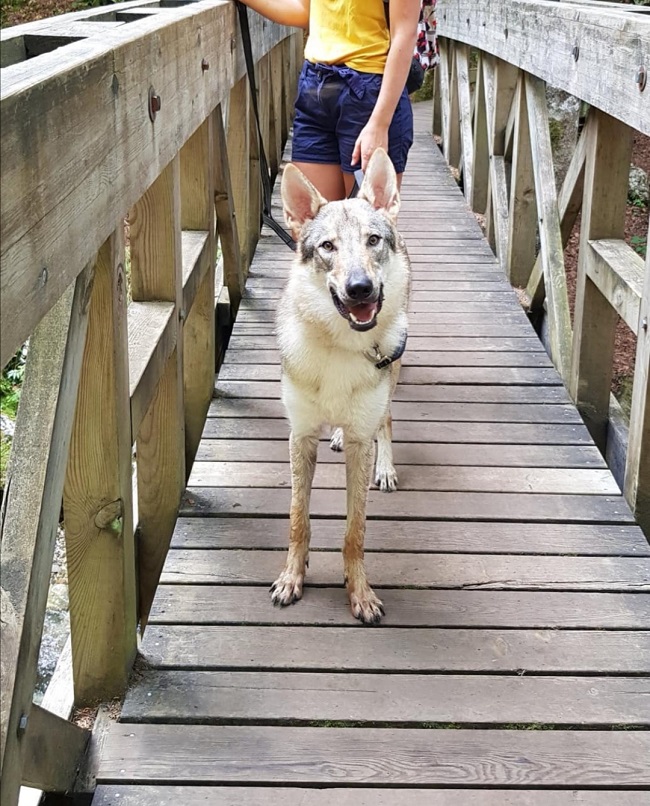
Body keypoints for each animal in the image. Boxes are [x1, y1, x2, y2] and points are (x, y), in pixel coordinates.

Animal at [268, 150, 410, 624]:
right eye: (327, 247)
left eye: (372, 240)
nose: (359, 288)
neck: (339, 347)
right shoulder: (300, 435)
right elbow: (298, 519)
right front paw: (291, 578)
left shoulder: (361, 441)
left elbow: (355, 531)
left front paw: (359, 592)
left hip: (392, 373)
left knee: (386, 422)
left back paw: (385, 468)